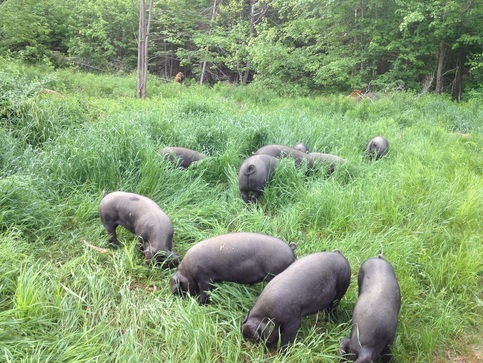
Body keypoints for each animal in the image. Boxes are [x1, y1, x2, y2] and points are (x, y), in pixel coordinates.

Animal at [170, 233, 298, 304]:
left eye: (179, 286)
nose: (173, 295)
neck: (187, 272)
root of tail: (290, 249)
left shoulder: (204, 277)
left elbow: (205, 292)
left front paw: (200, 304)